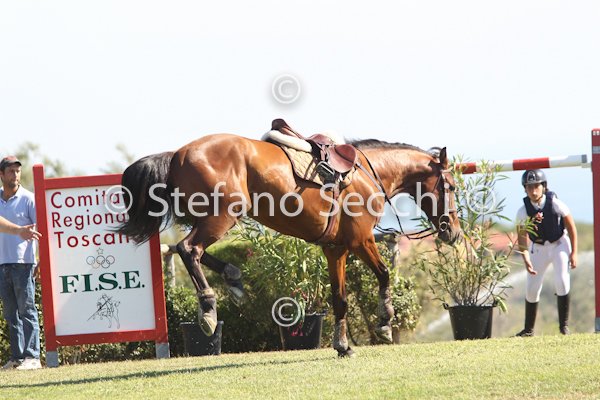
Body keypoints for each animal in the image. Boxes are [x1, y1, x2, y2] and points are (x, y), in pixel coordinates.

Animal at [116, 126, 460, 357]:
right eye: (453, 186)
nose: (453, 232)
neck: (367, 174)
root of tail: (177, 154)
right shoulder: (361, 241)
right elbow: (385, 274)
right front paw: (386, 322)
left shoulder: (335, 249)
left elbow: (340, 298)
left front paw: (342, 346)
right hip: (223, 214)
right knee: (190, 249)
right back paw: (209, 311)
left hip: (208, 216)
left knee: (188, 249)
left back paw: (234, 279)